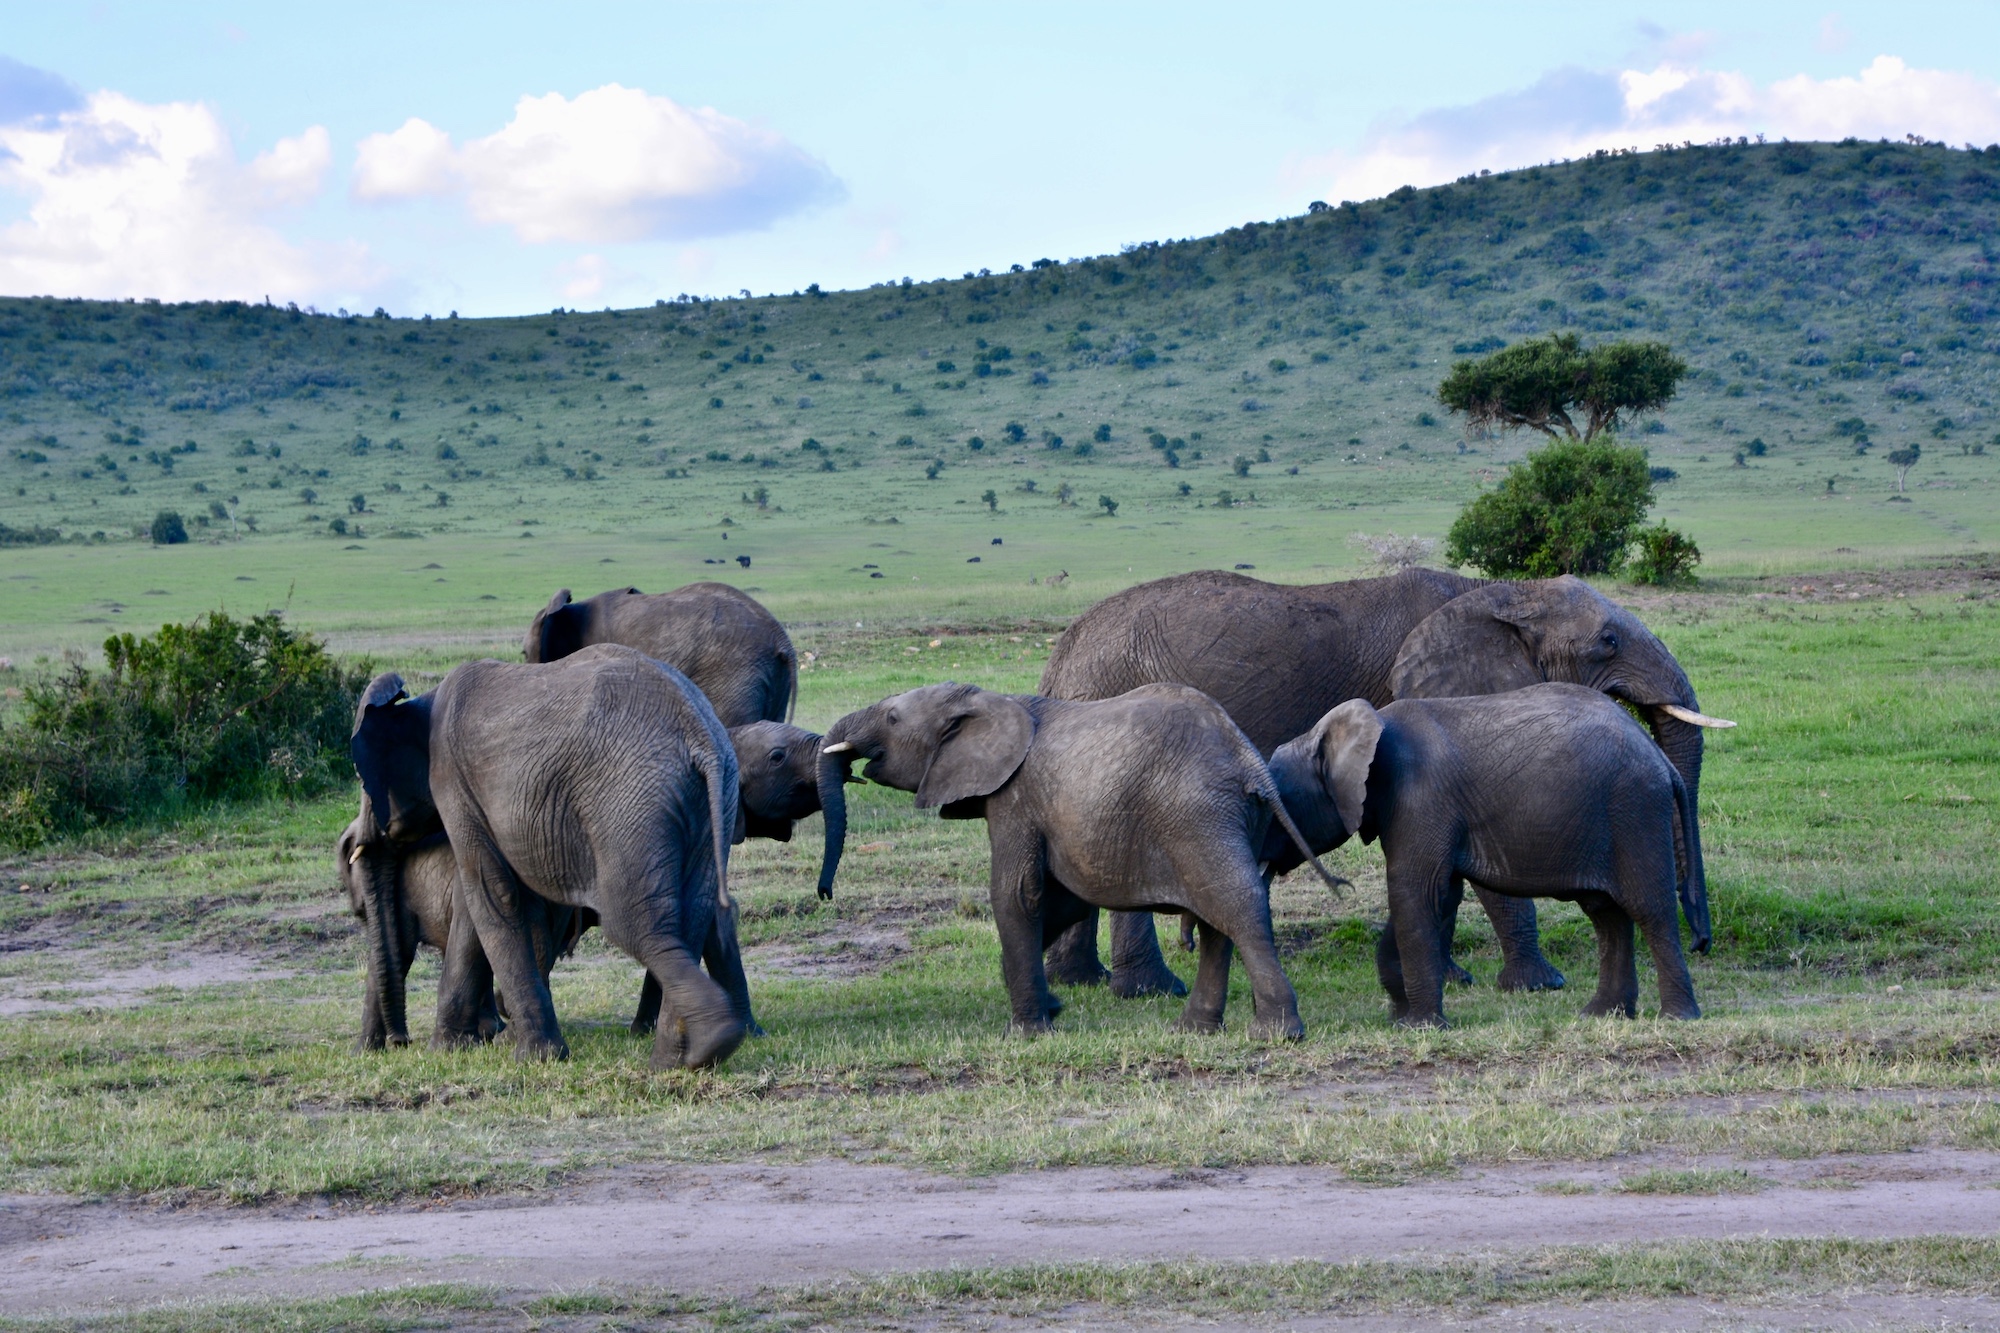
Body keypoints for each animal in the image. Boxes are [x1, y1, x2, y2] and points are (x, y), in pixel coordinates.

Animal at [348, 644, 748, 1072]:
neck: (423, 701)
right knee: (693, 916)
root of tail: (700, 733)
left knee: (632, 924)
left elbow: (490, 891)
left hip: (629, 802)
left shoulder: (453, 782)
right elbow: (487, 901)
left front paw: (529, 1056)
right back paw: (678, 1060)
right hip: (712, 798)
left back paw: (712, 1041)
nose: (399, 1042)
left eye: (362, 780)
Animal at [820, 684, 1336, 1040]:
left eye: (891, 717)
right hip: (1228, 819)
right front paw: (1051, 1007)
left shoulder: (1014, 798)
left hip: (1197, 815)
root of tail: (1249, 762)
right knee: (1217, 916)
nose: (850, 763)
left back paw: (1275, 1035)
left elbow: (1017, 894)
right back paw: (1192, 1030)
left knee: (1236, 905)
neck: (986, 699)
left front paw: (1026, 1033)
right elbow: (1060, 900)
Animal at [1264, 680, 1704, 1020]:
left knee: (1649, 909)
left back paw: (1676, 1017)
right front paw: (1400, 1016)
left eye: (1280, 802)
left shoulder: (1420, 799)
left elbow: (1414, 893)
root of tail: (1661, 760)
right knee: (1607, 914)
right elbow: (1438, 896)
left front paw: (1418, 1025)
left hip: (1634, 810)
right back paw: (1601, 1015)